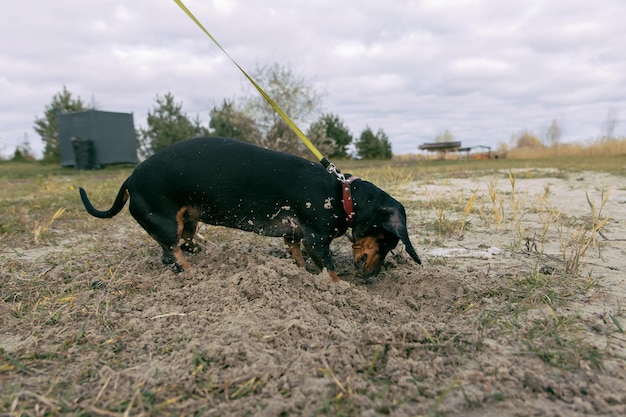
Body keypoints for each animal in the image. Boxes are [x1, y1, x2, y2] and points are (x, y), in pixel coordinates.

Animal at [78, 136, 420, 280]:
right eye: (389, 242)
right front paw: (339, 289)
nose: (373, 277)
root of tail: (129, 179)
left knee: (172, 250)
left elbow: (297, 256)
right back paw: (192, 273)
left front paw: (300, 272)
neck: (342, 194)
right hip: (167, 222)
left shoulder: (295, 235)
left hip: (189, 220)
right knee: (173, 253)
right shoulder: (318, 238)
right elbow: (330, 270)